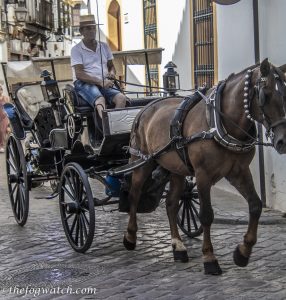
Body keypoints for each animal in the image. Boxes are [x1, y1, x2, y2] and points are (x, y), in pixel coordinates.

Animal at [122, 58, 286, 274]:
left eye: (285, 92)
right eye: (265, 94)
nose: (283, 141)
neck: (218, 122)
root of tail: (147, 106)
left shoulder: (239, 172)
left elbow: (255, 205)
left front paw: (242, 252)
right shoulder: (203, 175)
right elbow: (206, 215)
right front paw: (209, 258)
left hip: (176, 170)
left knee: (171, 204)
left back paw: (178, 247)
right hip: (142, 162)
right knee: (134, 195)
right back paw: (130, 236)